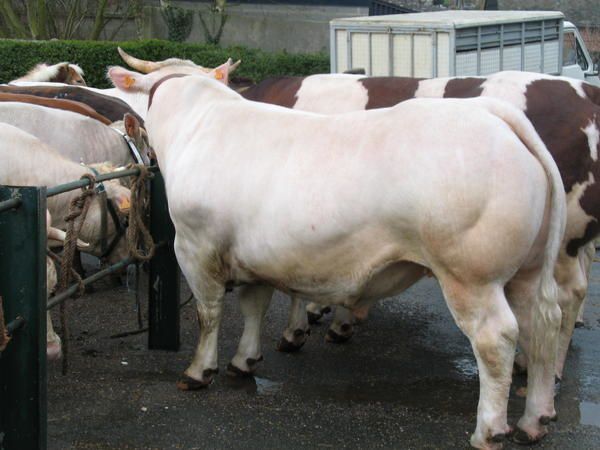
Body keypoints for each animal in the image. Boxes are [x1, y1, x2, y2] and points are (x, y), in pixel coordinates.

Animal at [110, 68, 564, 448]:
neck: (196, 122)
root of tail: (492, 113)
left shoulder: (195, 246)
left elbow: (209, 314)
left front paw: (199, 371)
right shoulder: (252, 255)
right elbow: (254, 308)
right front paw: (244, 361)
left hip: (471, 276)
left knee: (496, 339)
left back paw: (489, 430)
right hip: (527, 272)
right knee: (542, 326)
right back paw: (535, 419)